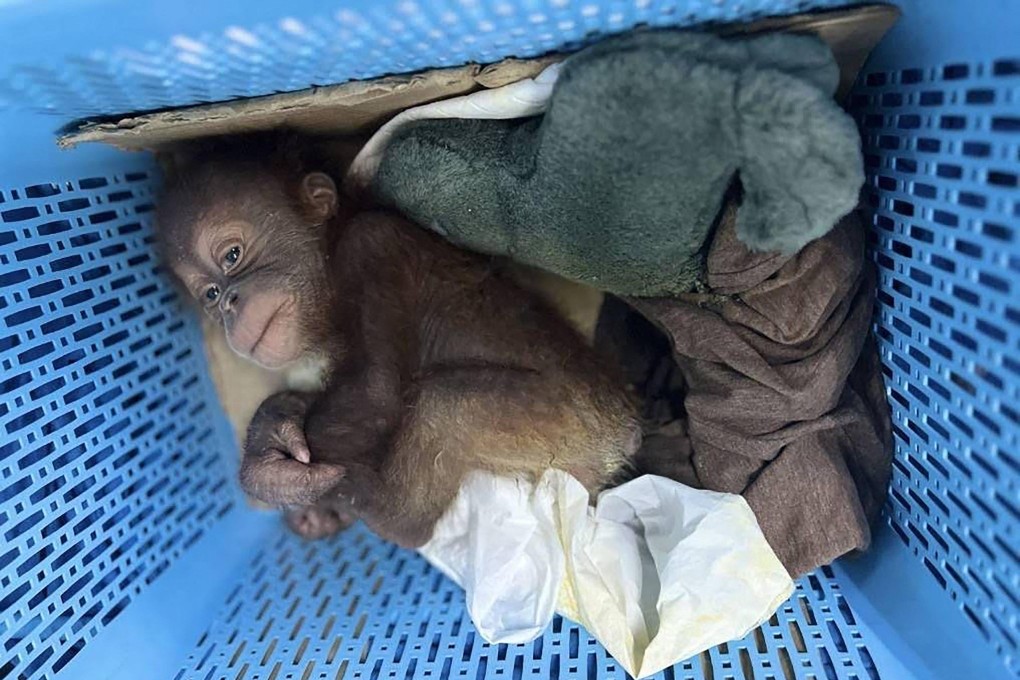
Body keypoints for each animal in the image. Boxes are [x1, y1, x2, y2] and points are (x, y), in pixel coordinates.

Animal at [155, 134, 641, 549]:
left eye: (232, 256)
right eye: (209, 295)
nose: (229, 306)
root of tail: (626, 433)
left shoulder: (370, 244)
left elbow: (375, 392)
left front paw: (265, 457)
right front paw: (284, 425)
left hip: (575, 421)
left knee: (441, 406)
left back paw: (377, 506)